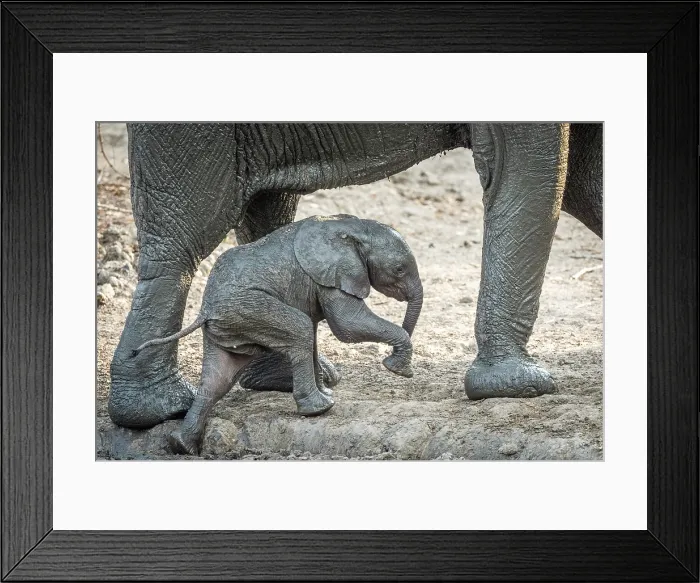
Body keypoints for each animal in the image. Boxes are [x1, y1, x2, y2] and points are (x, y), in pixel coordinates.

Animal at [108, 122, 603, 429]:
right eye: (398, 270)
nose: (397, 370)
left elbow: (585, 176)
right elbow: (535, 171)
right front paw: (519, 386)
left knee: (266, 203)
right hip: (189, 137)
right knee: (185, 238)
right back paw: (159, 412)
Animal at [131, 214, 422, 455]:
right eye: (399, 269)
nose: (391, 363)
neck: (356, 227)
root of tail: (205, 310)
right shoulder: (332, 275)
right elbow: (347, 326)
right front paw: (397, 368)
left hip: (229, 324)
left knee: (219, 378)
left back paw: (181, 446)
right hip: (248, 308)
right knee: (300, 328)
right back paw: (319, 409)